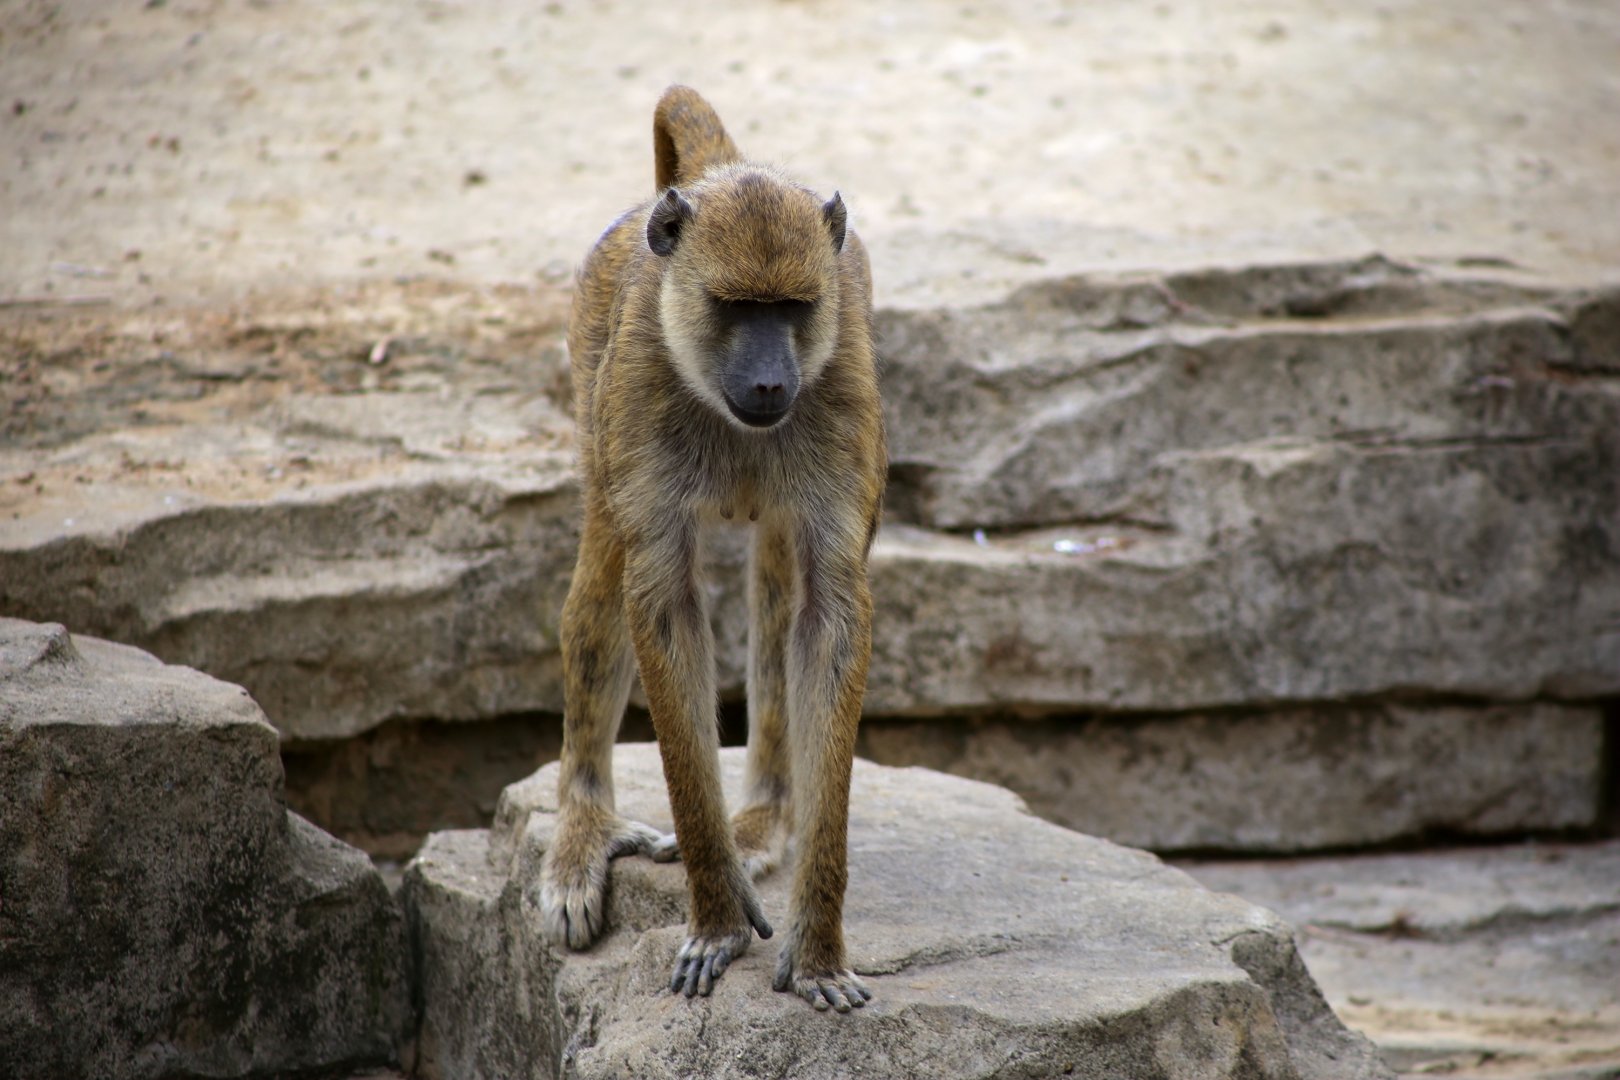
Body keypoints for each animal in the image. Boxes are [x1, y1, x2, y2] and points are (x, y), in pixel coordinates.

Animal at [537, 85, 885, 1014]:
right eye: (736, 308)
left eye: (790, 309)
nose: (769, 381)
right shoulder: (634, 398)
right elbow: (661, 604)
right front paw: (718, 907)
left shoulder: (843, 393)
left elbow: (829, 615)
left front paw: (818, 946)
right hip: (594, 371)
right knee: (601, 577)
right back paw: (583, 829)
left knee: (778, 588)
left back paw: (763, 820)